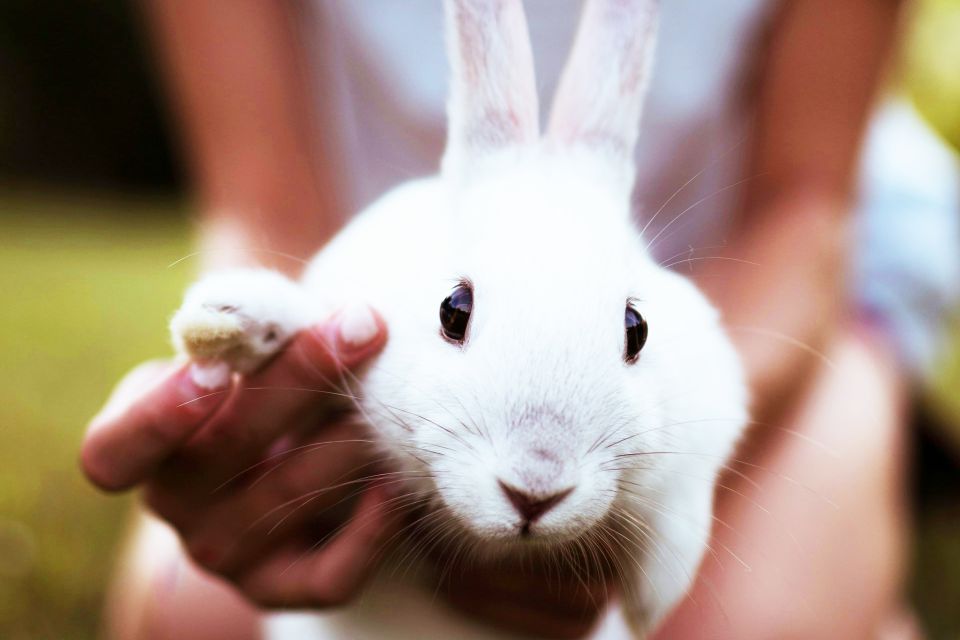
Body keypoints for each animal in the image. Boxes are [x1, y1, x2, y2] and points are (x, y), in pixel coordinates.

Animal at [169, 1, 748, 636]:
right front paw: (226, 322)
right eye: (453, 311)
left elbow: (680, 511)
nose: (535, 488)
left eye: (635, 328)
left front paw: (652, 598)